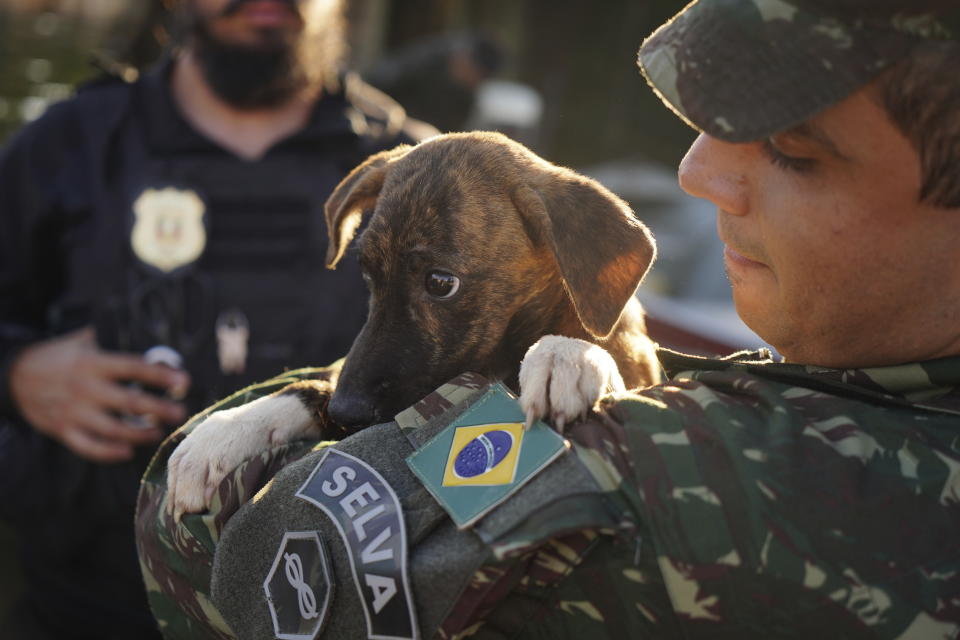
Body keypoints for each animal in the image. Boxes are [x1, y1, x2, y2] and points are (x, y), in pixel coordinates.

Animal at [167, 132, 660, 516]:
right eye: (367, 273)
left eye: (441, 283)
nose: (345, 414)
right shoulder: (343, 374)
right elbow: (311, 383)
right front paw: (224, 432)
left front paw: (566, 355)